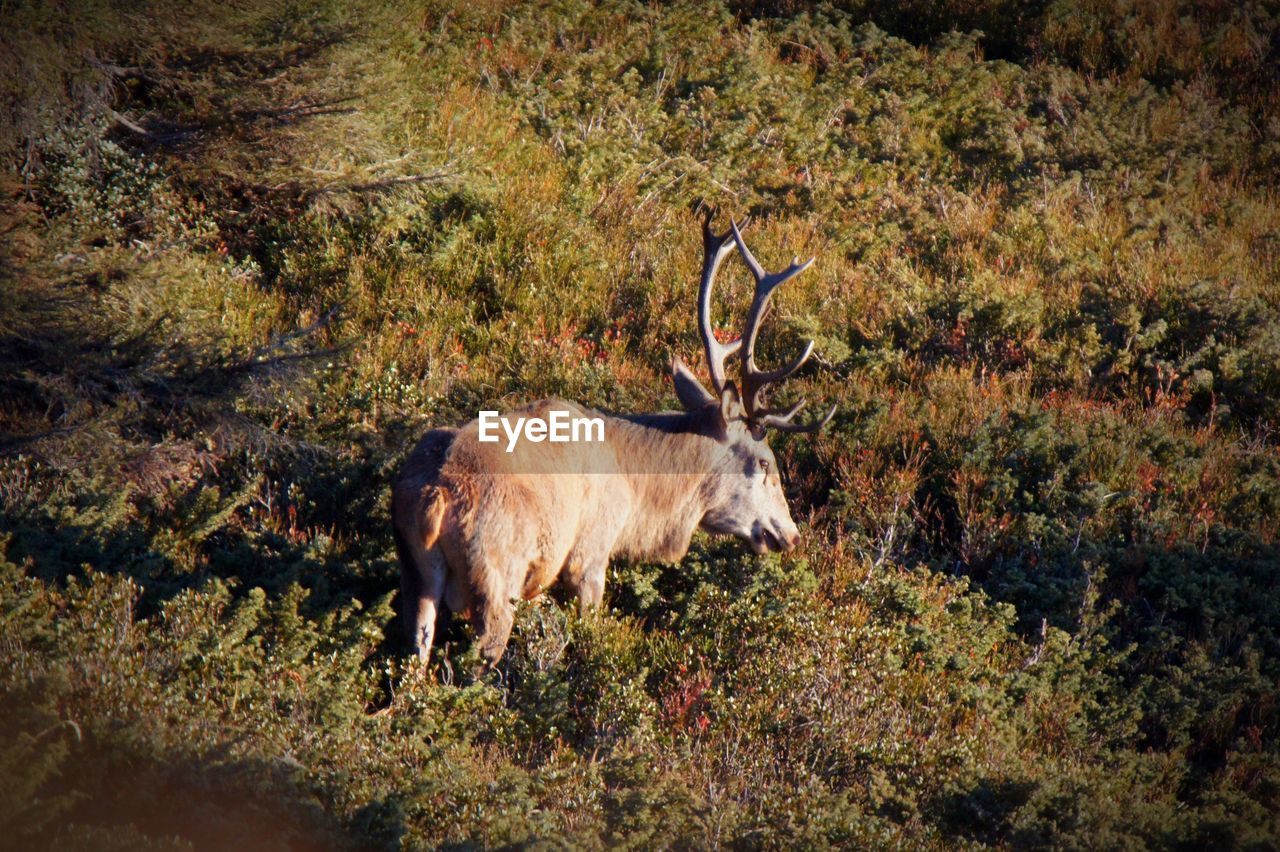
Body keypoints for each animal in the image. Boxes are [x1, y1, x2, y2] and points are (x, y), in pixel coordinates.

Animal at [394, 208, 834, 665]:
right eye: (764, 462)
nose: (791, 534)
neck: (638, 490)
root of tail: (433, 499)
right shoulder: (589, 553)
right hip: (497, 573)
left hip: (414, 575)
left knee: (415, 654)